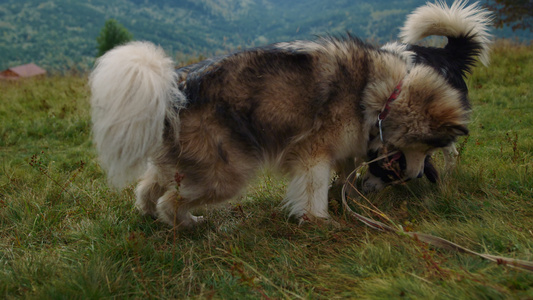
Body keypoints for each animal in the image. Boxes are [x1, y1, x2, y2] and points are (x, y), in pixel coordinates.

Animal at [90, 0, 490, 227]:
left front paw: (347, 200)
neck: (385, 93)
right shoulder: (314, 152)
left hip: (183, 163)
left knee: (148, 187)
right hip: (228, 173)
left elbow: (343, 178)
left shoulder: (343, 151)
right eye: (428, 147)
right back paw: (187, 223)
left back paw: (148, 215)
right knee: (169, 200)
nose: (418, 174)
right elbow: (314, 189)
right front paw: (319, 220)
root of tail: (177, 86)